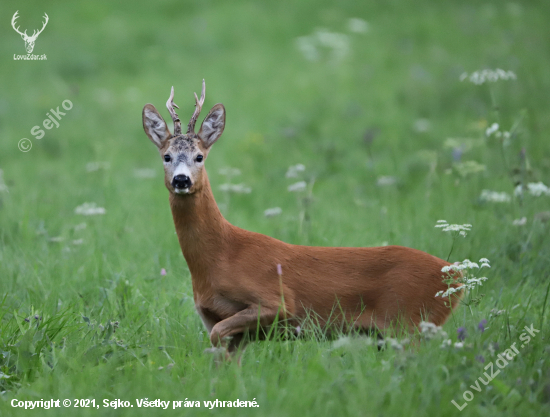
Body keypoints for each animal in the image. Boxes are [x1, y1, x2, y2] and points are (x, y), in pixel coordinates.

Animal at [142, 79, 462, 352]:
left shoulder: (277, 303)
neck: (220, 256)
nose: (181, 180)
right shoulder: (214, 319)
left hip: (410, 323)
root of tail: (458, 276)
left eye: (199, 157)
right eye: (166, 157)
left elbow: (221, 333)